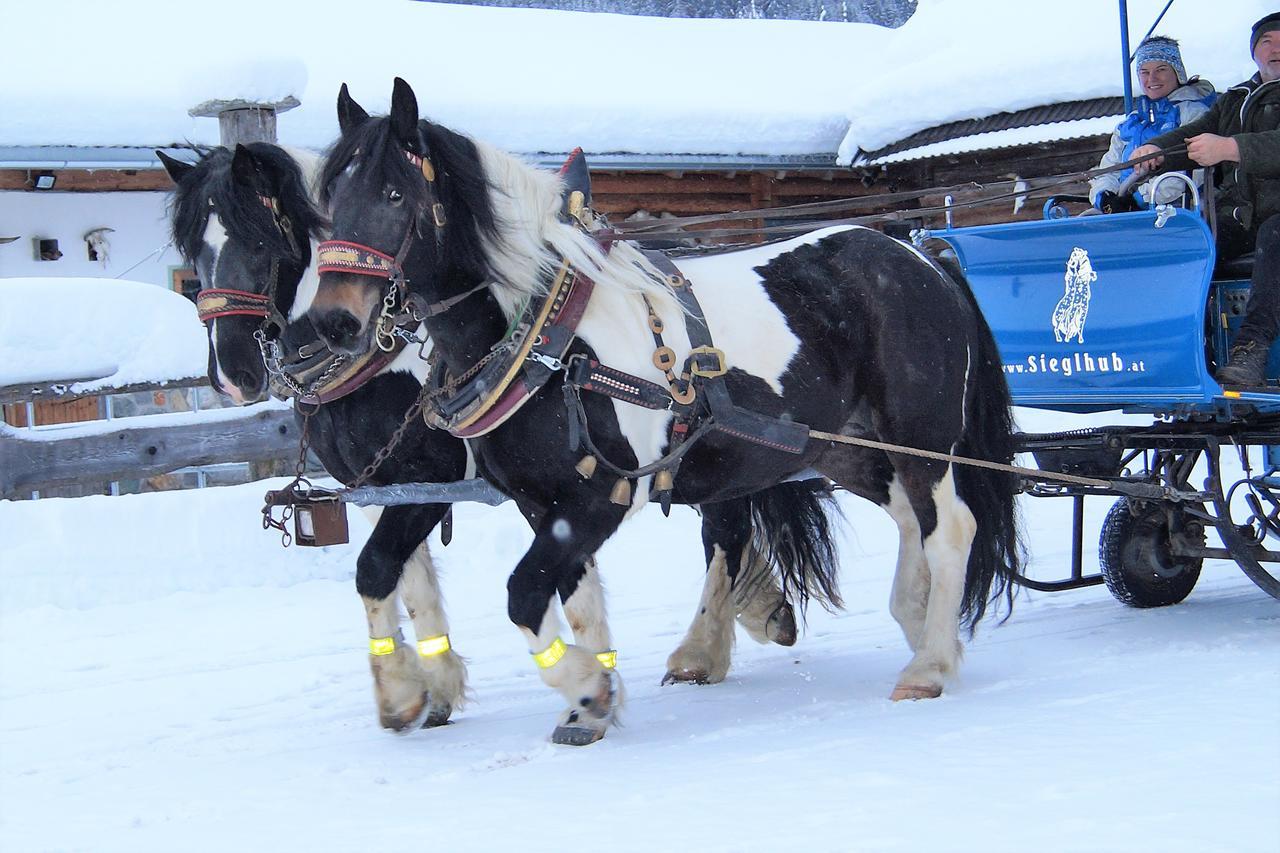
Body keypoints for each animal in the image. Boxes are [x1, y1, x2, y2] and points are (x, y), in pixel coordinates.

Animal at [157, 139, 839, 737]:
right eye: (191, 247)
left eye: (260, 236)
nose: (232, 373)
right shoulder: (391, 489)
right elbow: (410, 580)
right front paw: (435, 688)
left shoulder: (430, 483)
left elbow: (378, 567)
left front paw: (406, 692)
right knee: (729, 516)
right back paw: (747, 619)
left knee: (724, 527)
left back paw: (703, 647)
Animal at [307, 81, 1018, 737]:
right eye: (328, 200)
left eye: (394, 195)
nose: (332, 321)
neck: (549, 338)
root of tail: (922, 255)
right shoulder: (543, 503)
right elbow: (574, 598)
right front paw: (587, 704)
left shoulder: (601, 495)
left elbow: (524, 594)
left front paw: (587, 689)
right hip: (850, 447)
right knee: (910, 518)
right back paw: (919, 620)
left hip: (920, 436)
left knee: (950, 527)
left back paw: (929, 663)